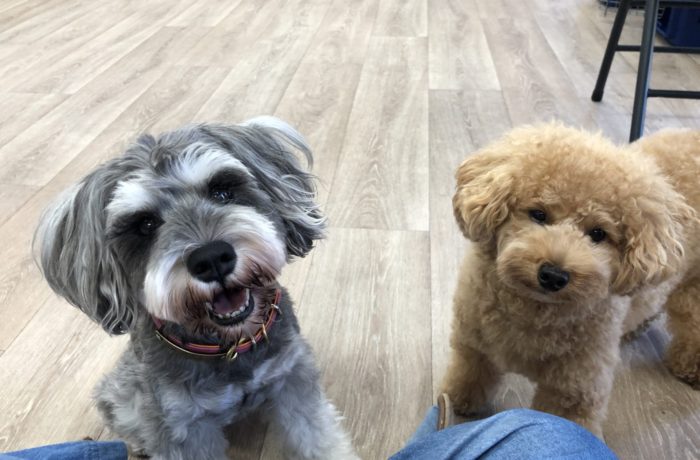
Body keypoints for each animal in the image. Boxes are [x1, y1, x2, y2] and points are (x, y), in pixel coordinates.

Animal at [35, 117, 357, 460]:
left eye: (222, 191)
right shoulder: (184, 429)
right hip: (122, 394)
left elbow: (318, 434)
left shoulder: (292, 377)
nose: (212, 258)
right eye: (145, 225)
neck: (227, 346)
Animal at [442, 124, 700, 437]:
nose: (553, 275)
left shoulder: (573, 388)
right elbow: (470, 373)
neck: (534, 311)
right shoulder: (475, 345)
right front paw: (459, 401)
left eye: (598, 233)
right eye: (538, 214)